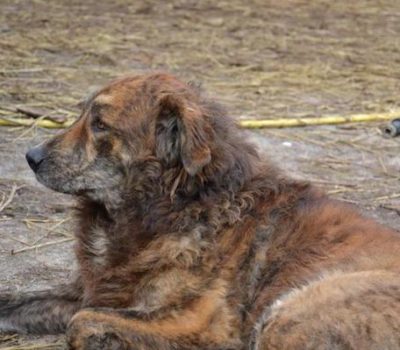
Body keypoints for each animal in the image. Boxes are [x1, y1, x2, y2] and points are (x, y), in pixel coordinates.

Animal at [0, 72, 400, 348]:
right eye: (82, 115)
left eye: (100, 125)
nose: (31, 157)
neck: (178, 205)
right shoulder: (91, 290)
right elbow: (14, 301)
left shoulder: (199, 323)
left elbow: (81, 323)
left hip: (287, 316)